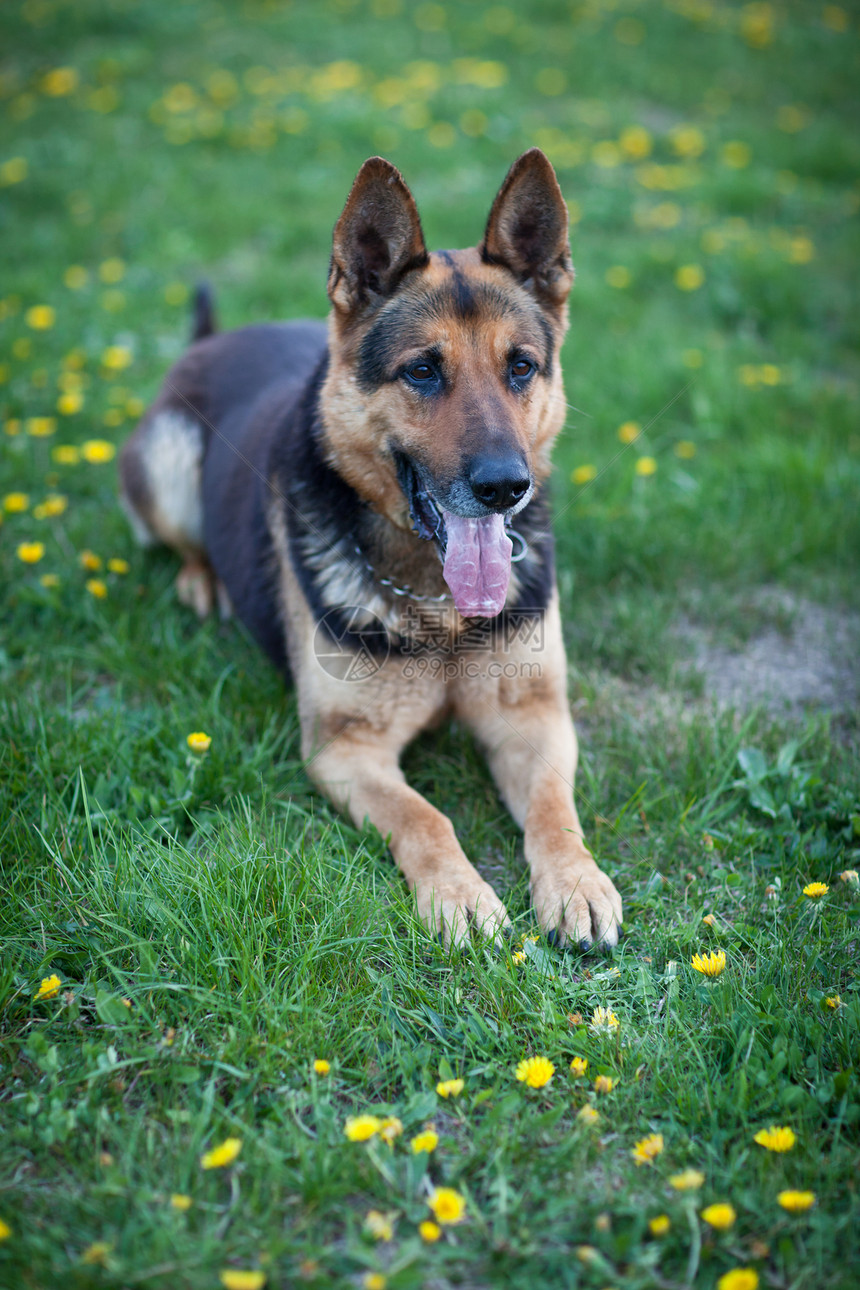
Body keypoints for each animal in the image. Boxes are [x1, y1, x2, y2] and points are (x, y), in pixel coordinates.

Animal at [119, 153, 618, 959]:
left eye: (521, 367)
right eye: (422, 371)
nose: (505, 486)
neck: (440, 608)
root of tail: (211, 341)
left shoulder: (536, 719)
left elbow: (553, 809)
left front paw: (576, 881)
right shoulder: (346, 751)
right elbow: (426, 816)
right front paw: (461, 895)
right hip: (167, 457)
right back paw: (202, 583)